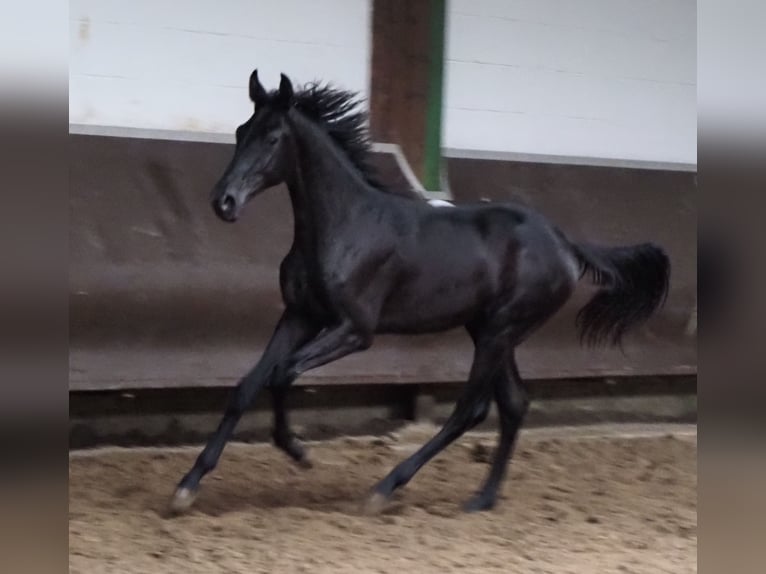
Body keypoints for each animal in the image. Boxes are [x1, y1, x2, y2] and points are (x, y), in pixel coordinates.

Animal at [170, 72, 672, 516]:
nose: (223, 202)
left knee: (471, 410)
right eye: (242, 132)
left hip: (500, 330)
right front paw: (186, 487)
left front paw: (300, 452)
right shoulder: (298, 315)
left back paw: (384, 489)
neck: (345, 224)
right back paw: (483, 498)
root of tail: (566, 243)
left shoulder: (354, 330)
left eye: (273, 137)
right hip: (489, 330)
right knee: (513, 405)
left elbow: (282, 374)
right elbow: (248, 385)